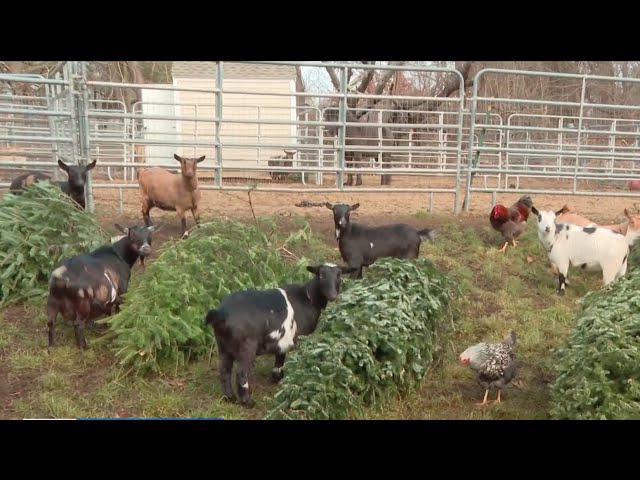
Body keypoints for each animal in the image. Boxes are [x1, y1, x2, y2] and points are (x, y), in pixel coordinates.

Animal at [204, 264, 356, 406]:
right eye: (321, 275)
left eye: (339, 275)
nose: (332, 295)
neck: (307, 297)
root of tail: (222, 313)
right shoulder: (301, 339)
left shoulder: (283, 339)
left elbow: (280, 359)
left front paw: (277, 379)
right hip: (246, 347)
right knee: (241, 373)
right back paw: (248, 402)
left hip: (223, 345)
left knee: (224, 370)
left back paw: (229, 398)